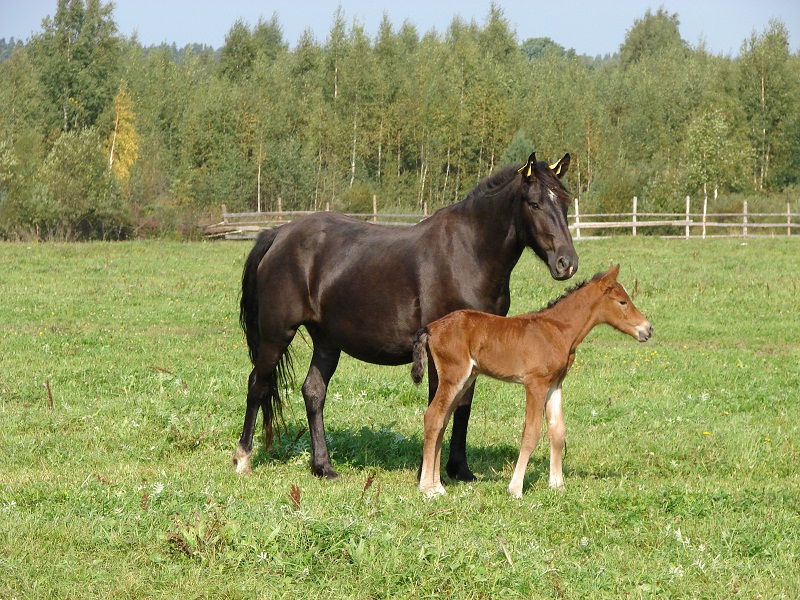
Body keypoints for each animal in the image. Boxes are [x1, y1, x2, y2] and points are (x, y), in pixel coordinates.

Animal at [234, 154, 580, 478]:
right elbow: (439, 406)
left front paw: (459, 469)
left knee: (313, 392)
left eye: (565, 202)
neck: (468, 254)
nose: (567, 263)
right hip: (277, 334)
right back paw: (243, 458)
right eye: (534, 203)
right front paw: (429, 473)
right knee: (257, 386)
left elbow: (463, 407)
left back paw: (323, 466)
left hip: (326, 341)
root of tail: (279, 234)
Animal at [416, 266, 652, 496]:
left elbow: (557, 432)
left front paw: (557, 485)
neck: (557, 330)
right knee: (433, 417)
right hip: (453, 376)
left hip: (465, 380)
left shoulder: (555, 384)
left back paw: (437, 486)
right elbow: (531, 433)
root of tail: (431, 328)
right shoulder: (535, 384)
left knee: (442, 421)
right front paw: (515, 488)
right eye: (622, 301)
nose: (648, 329)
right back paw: (427, 488)